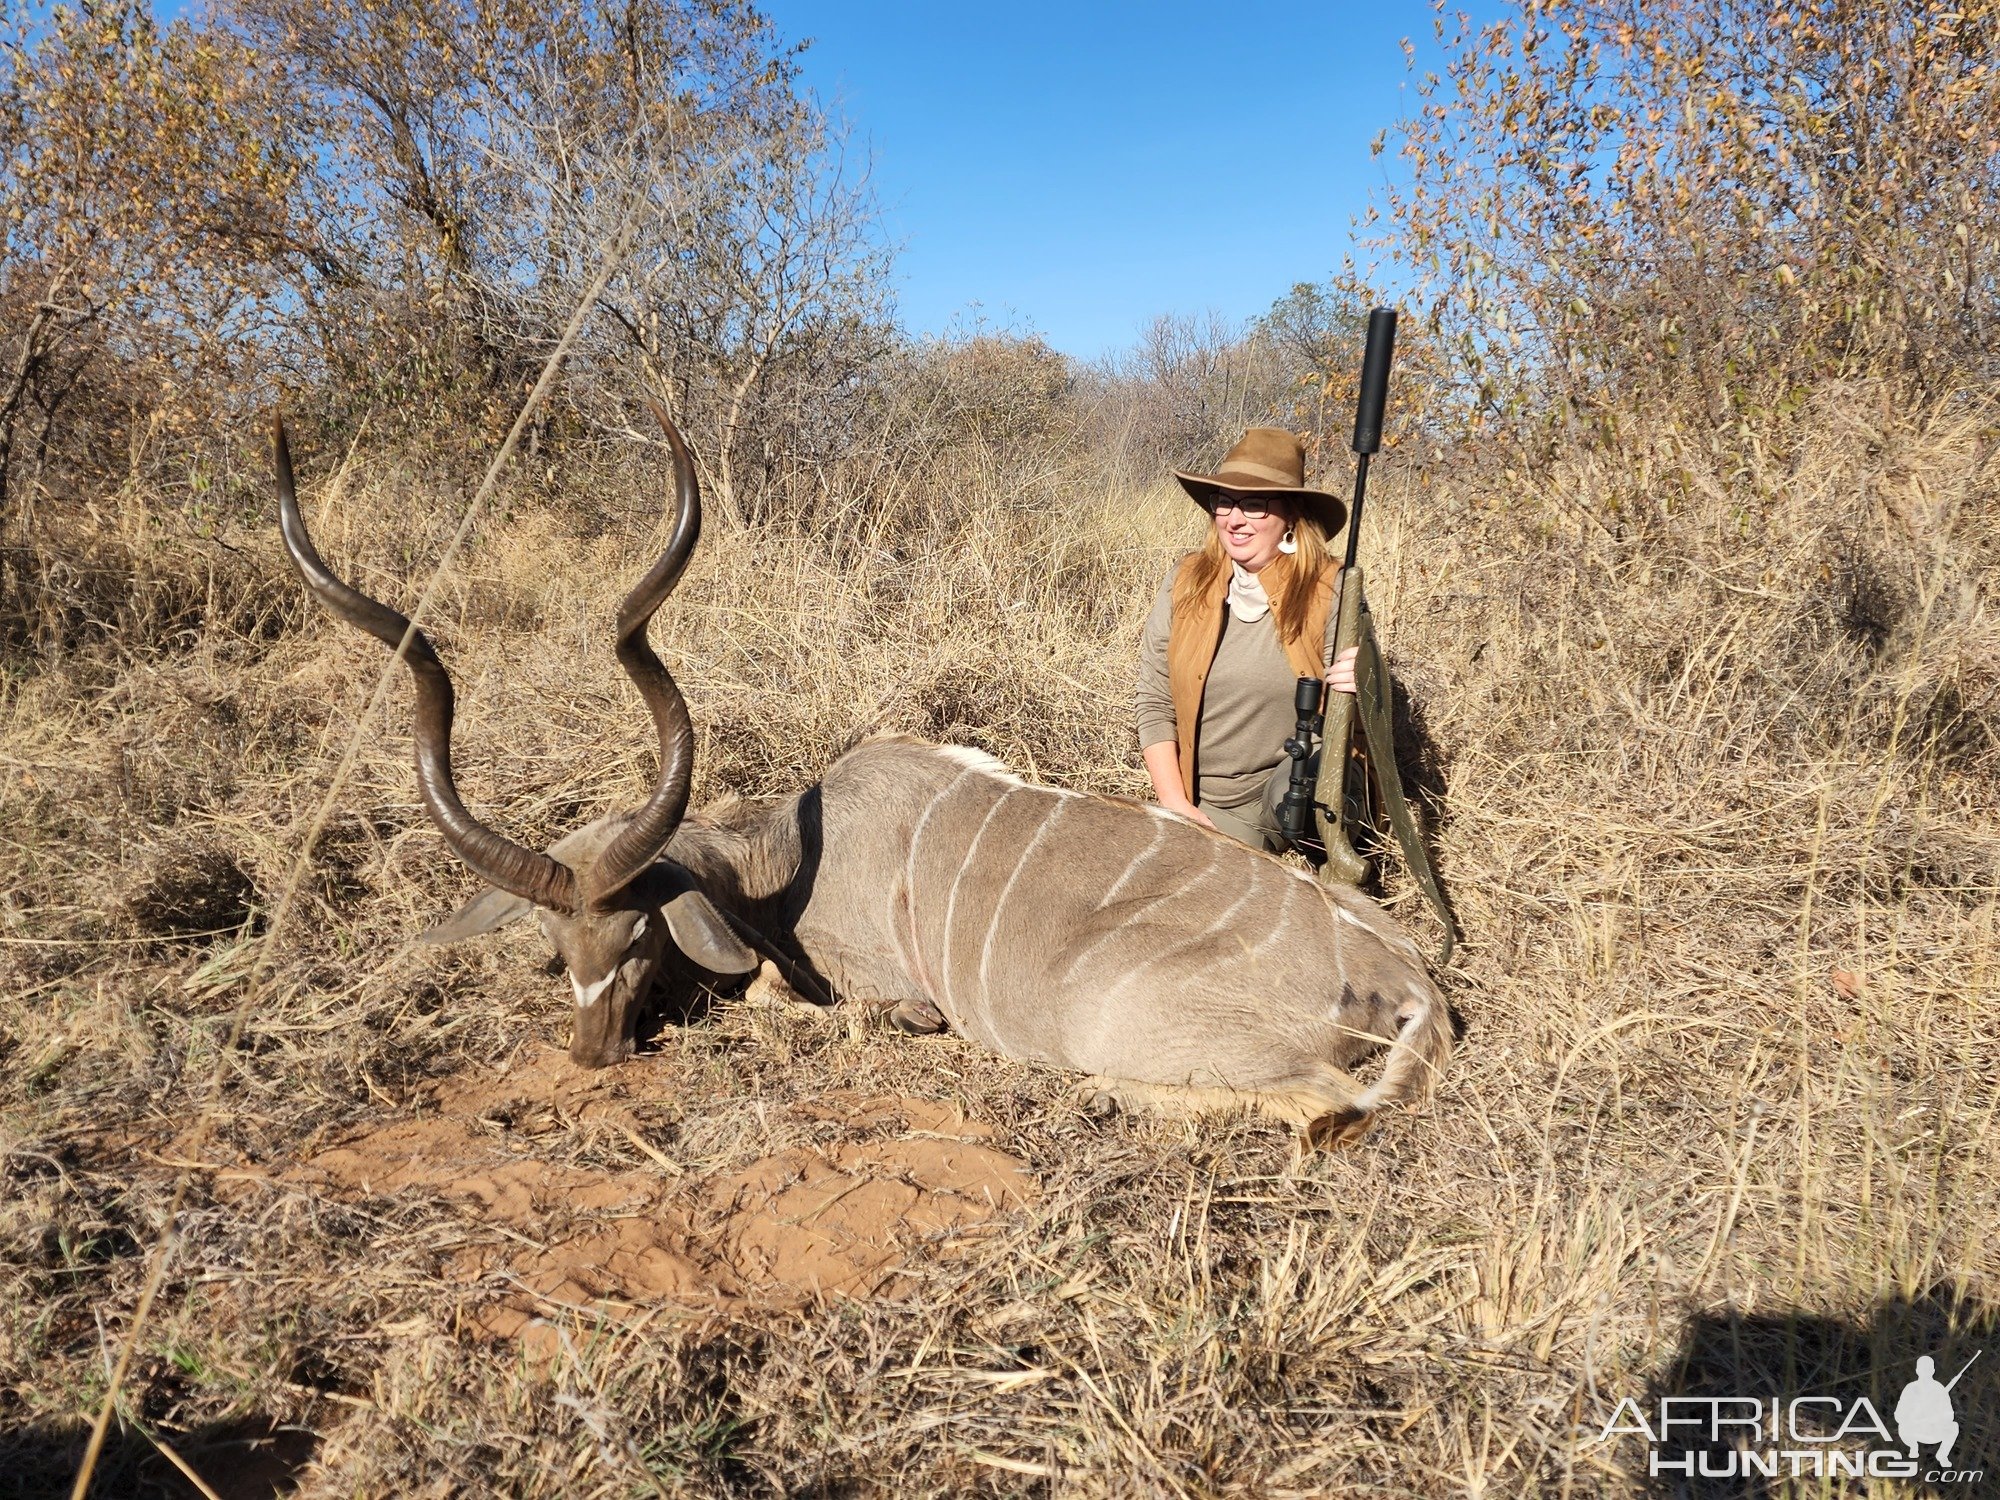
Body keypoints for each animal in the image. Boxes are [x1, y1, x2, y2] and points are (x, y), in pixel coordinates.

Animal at [274, 406, 1448, 1144]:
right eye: (557, 946)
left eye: (639, 935)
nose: (592, 1055)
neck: (777, 859)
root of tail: (1402, 980)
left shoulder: (863, 983)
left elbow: (777, 1000)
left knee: (1321, 1102)